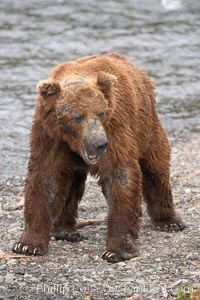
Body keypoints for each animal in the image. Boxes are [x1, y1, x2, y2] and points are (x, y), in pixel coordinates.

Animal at [12, 52, 185, 262]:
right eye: (78, 116)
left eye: (101, 112)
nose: (99, 144)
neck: (73, 141)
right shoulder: (49, 136)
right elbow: (46, 179)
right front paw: (28, 244)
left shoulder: (116, 130)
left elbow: (121, 175)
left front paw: (117, 250)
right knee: (71, 182)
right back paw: (65, 230)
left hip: (147, 129)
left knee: (156, 169)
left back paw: (169, 221)